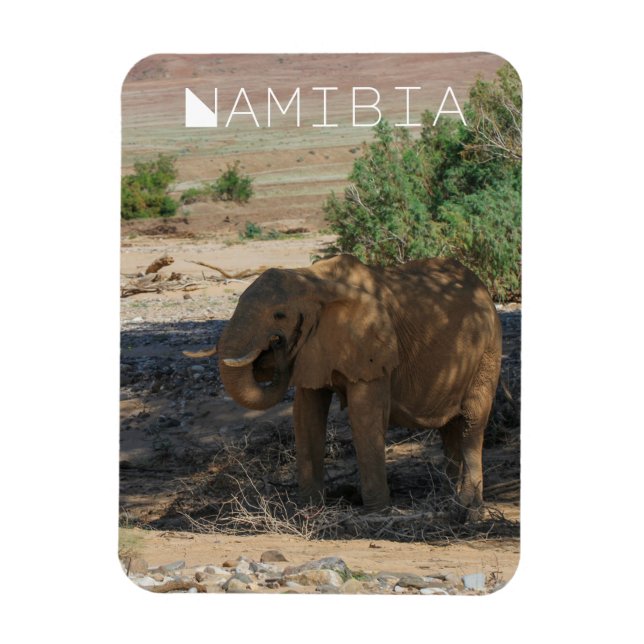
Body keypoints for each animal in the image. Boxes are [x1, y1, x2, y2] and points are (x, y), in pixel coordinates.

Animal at [185, 254, 502, 521]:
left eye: (279, 316)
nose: (277, 345)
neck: (313, 279)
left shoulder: (371, 346)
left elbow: (364, 416)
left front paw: (376, 513)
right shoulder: (313, 347)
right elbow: (306, 414)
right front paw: (306, 509)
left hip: (488, 349)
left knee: (471, 422)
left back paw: (469, 510)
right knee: (450, 428)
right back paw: (449, 501)